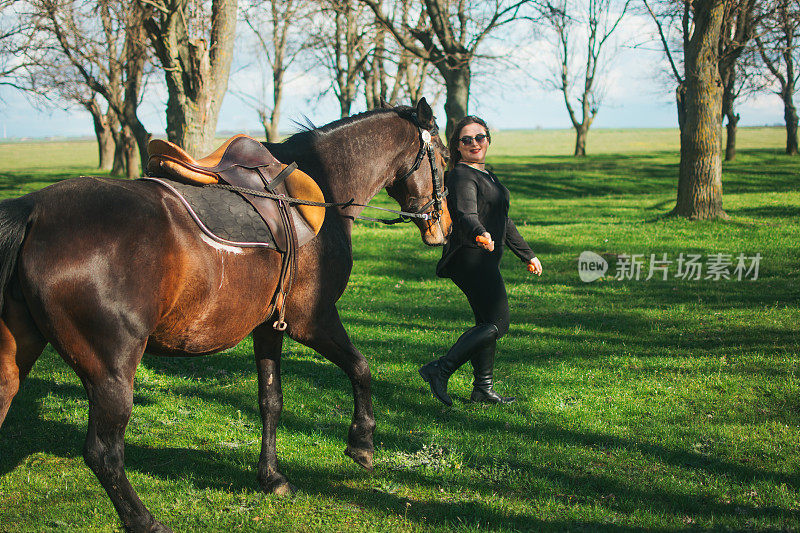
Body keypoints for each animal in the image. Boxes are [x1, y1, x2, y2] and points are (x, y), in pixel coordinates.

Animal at [0, 97, 450, 528]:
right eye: (444, 158)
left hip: (18, 354)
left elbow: (271, 400)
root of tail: (34, 210)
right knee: (103, 452)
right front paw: (362, 443)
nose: (442, 227)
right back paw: (144, 520)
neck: (322, 184)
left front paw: (271, 476)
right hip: (111, 369)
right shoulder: (312, 320)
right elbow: (361, 367)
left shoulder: (269, 326)